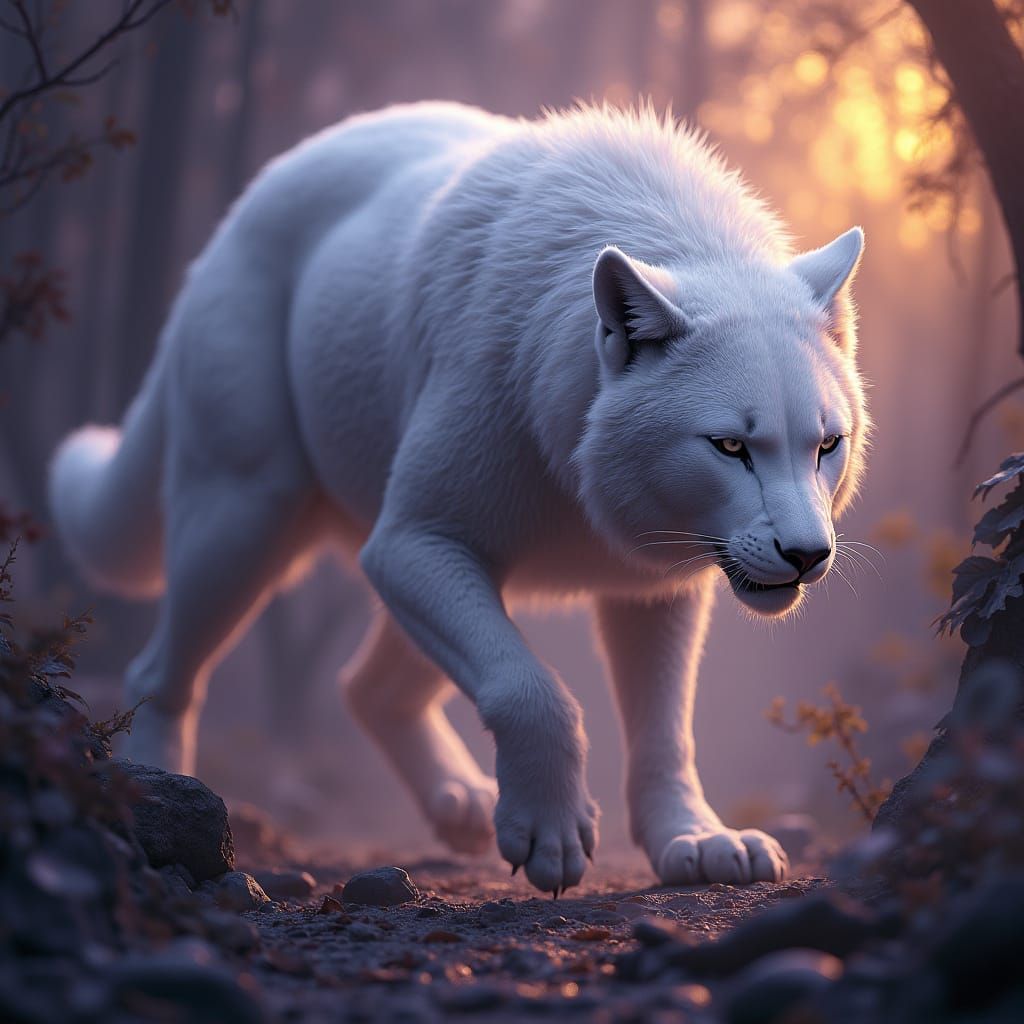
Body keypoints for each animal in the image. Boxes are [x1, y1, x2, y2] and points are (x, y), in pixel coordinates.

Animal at [50, 101, 868, 894]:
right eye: (730, 447)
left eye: (825, 445)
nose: (808, 556)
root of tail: (234, 219)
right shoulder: (414, 540)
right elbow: (532, 690)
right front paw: (551, 835)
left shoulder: (650, 585)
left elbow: (664, 731)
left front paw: (694, 840)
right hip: (247, 517)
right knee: (160, 674)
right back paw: (167, 792)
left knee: (365, 690)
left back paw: (461, 806)